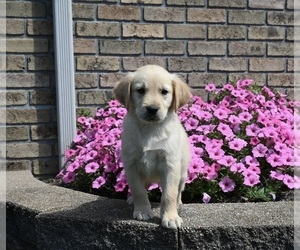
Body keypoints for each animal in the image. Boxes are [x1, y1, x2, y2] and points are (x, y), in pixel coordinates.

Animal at [113, 64, 191, 229]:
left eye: (164, 92)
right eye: (140, 90)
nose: (152, 109)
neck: (150, 128)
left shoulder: (170, 165)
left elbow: (169, 194)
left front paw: (171, 217)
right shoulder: (131, 165)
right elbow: (138, 190)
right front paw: (142, 210)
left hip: (182, 172)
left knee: (179, 190)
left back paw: (178, 203)